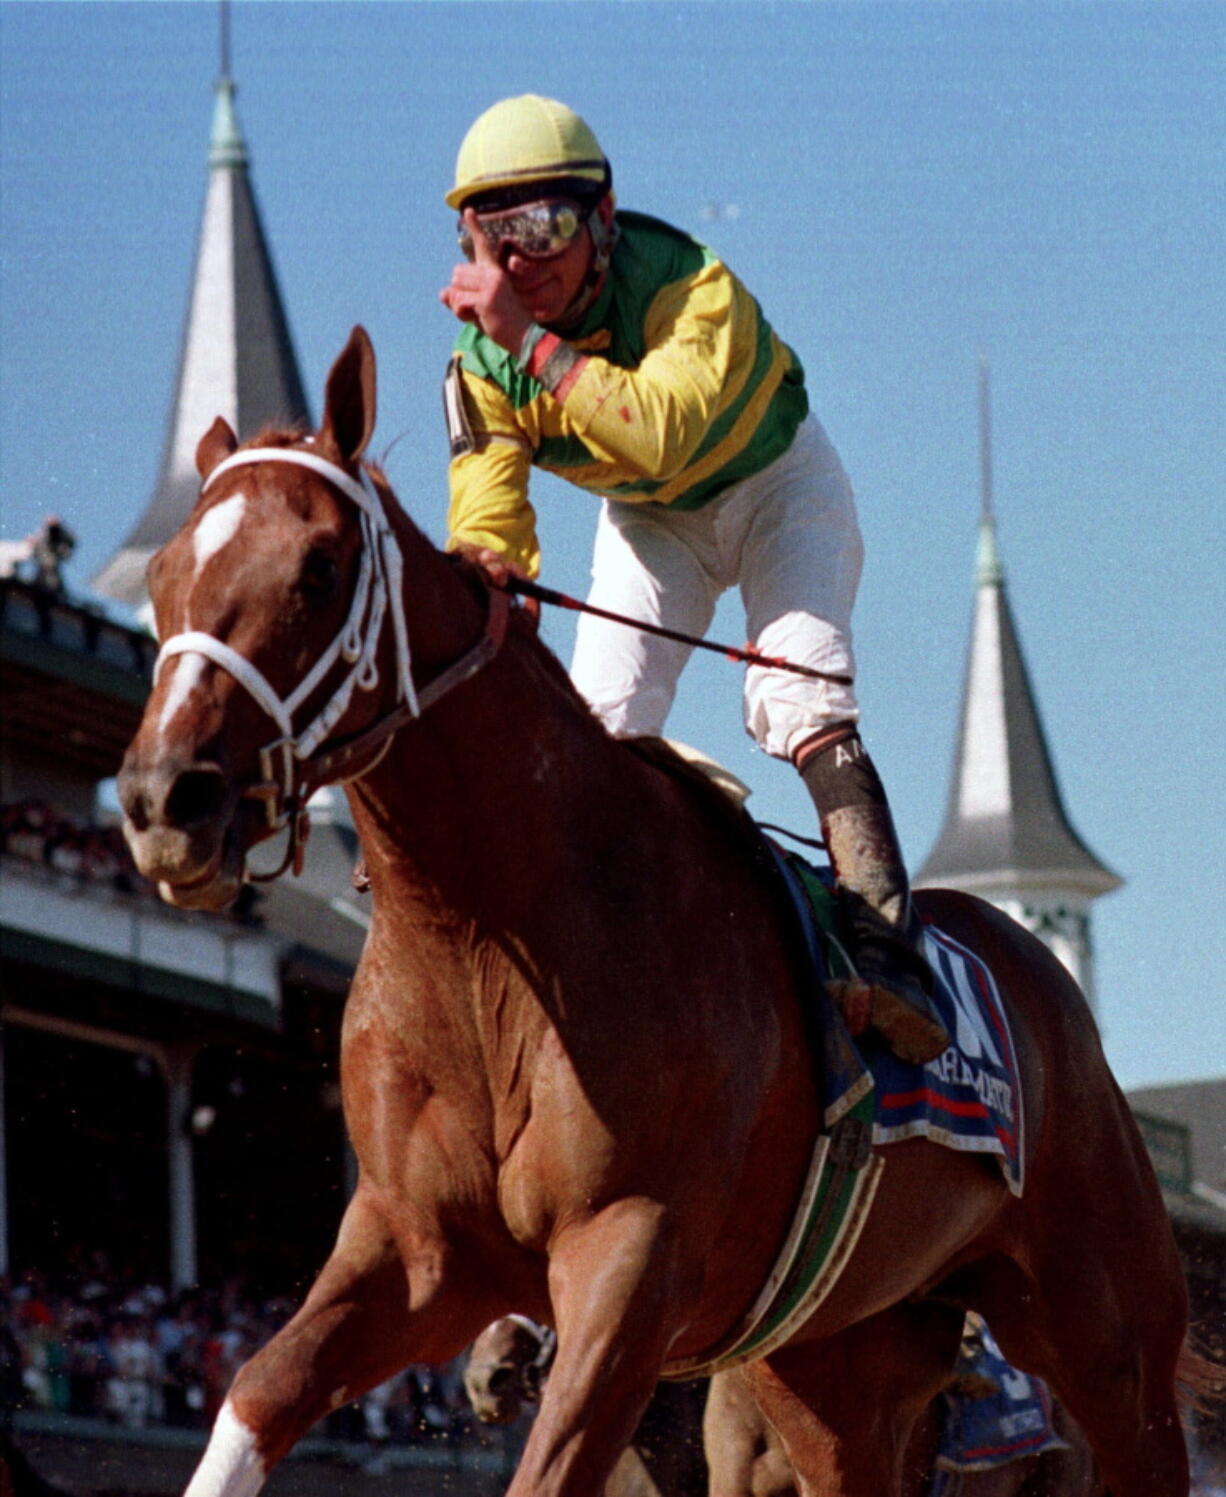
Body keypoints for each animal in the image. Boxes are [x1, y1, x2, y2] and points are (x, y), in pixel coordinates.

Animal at [119, 330, 1191, 1497]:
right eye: (167, 576)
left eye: (318, 569)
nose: (165, 799)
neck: (492, 941)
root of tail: (1046, 981)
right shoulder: (412, 1250)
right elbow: (260, 1390)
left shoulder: (629, 1261)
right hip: (840, 1360)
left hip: (1107, 1332)